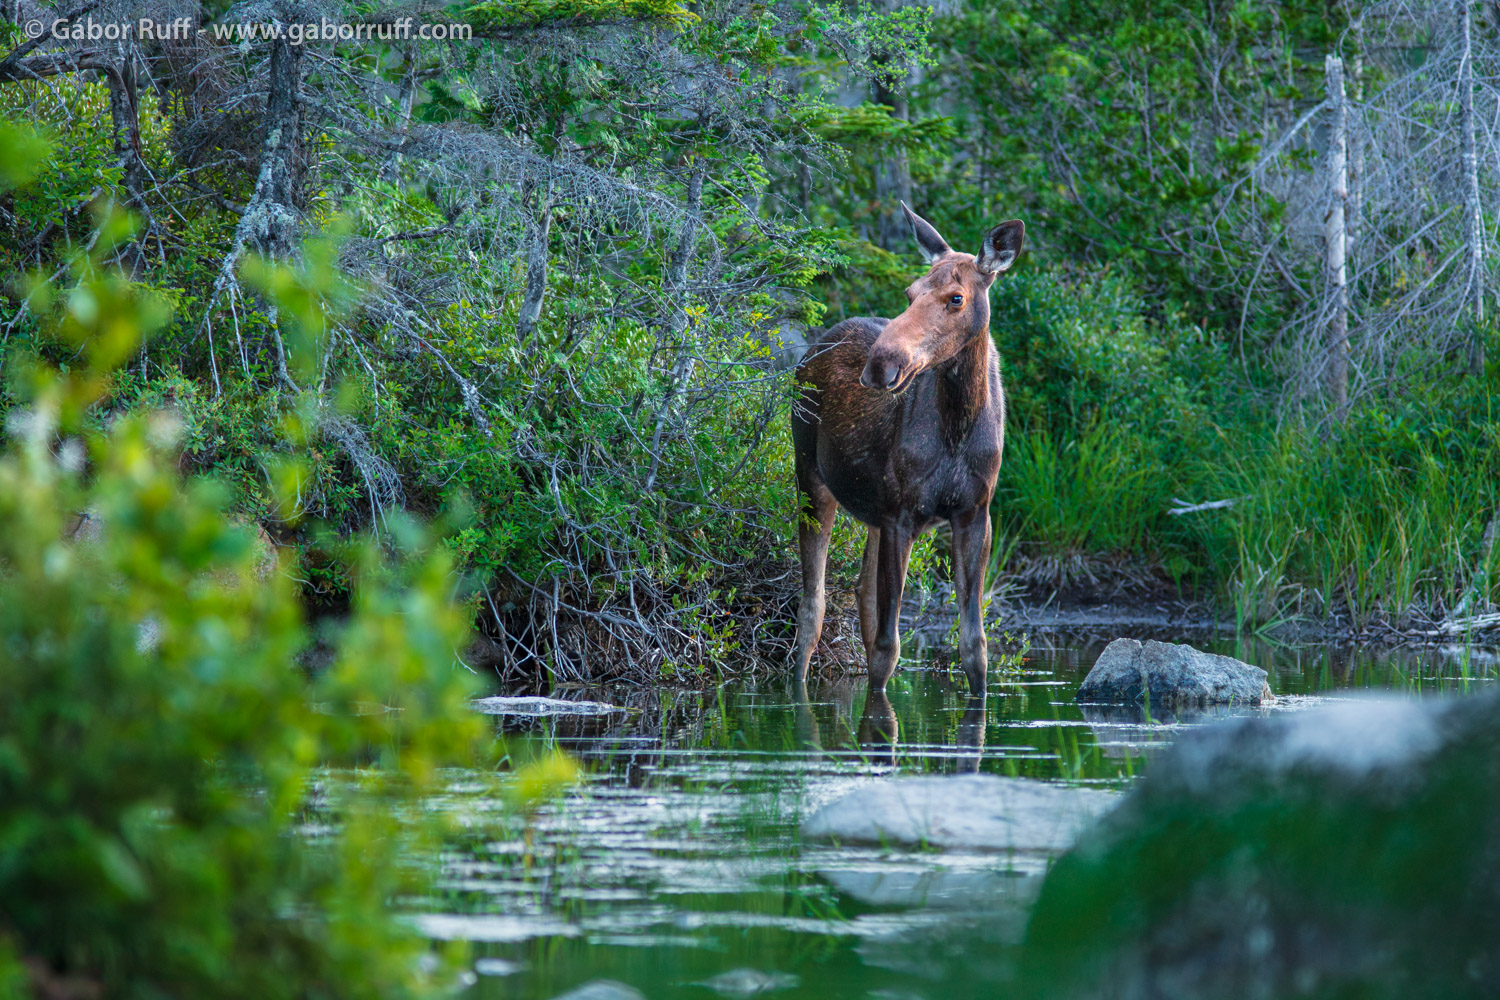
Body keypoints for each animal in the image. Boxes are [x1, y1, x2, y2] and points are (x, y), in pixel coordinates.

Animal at [791, 204, 1024, 696]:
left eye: (956, 297)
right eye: (909, 292)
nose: (881, 364)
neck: (958, 427)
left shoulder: (975, 513)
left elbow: (975, 648)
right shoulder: (902, 515)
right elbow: (887, 650)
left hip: (874, 512)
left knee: (861, 592)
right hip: (811, 476)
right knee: (813, 608)